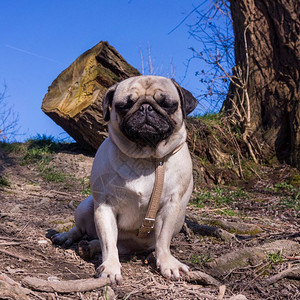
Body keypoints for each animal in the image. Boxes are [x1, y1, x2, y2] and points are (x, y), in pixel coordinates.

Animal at [52, 75, 197, 284]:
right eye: (124, 105)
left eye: (167, 104)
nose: (146, 108)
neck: (145, 157)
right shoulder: (105, 207)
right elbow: (108, 242)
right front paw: (111, 267)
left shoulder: (170, 206)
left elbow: (163, 239)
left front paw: (167, 263)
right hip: (85, 207)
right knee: (83, 231)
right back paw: (68, 237)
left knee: (114, 244)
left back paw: (90, 247)